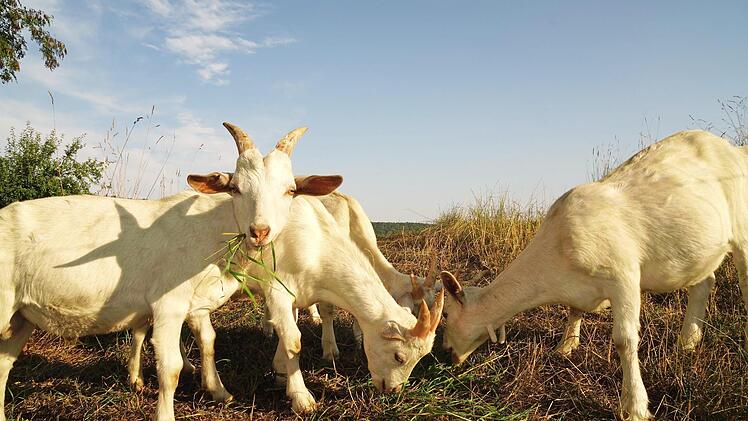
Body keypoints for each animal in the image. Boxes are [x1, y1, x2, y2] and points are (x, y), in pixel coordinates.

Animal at [441, 130, 747, 420]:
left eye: (445, 314)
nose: (445, 352)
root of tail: (734, 150)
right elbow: (574, 310)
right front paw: (565, 347)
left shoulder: (624, 277)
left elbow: (625, 340)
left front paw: (635, 407)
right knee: (704, 283)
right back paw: (688, 343)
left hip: (741, 232)